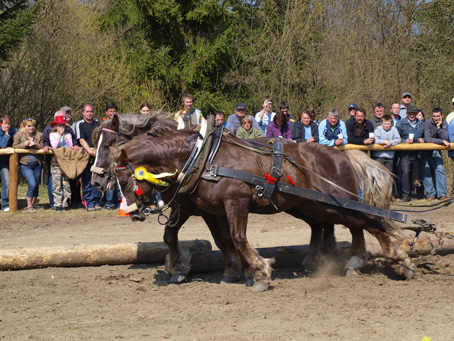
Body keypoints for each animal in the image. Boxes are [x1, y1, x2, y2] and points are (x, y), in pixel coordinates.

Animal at [112, 129, 414, 290]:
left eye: (125, 180)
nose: (134, 213)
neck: (203, 159)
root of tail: (342, 155)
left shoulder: (235, 203)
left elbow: (237, 239)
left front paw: (259, 272)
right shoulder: (213, 210)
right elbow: (221, 240)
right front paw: (237, 271)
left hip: (333, 202)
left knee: (370, 222)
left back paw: (398, 261)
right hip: (318, 206)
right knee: (352, 225)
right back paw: (353, 261)